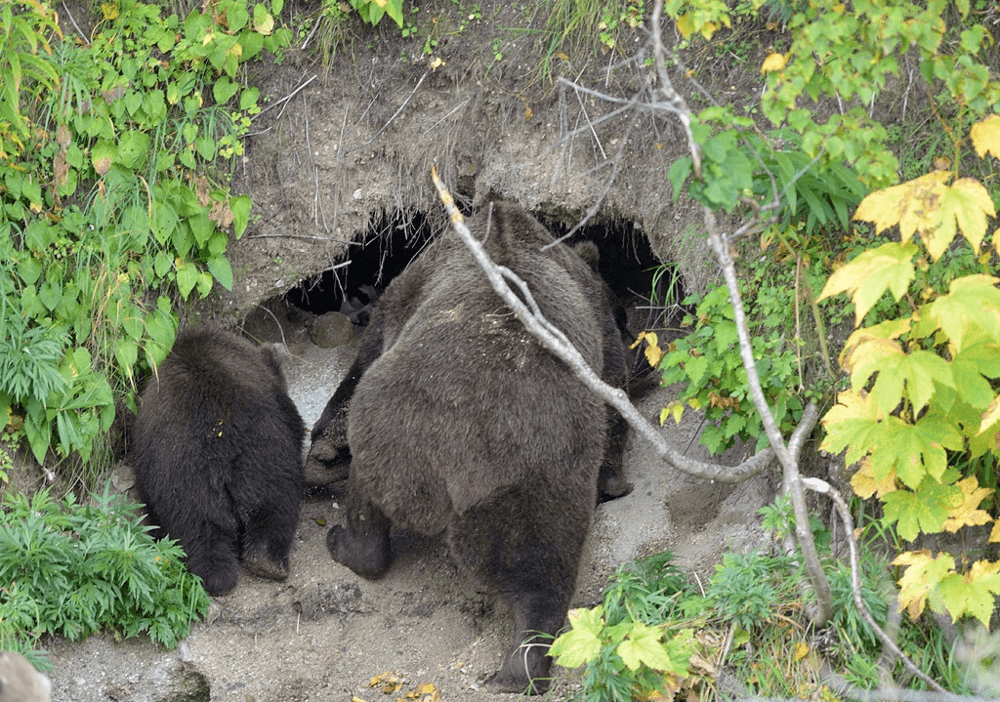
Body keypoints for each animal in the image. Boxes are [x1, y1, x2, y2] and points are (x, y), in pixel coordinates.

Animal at [133, 328, 306, 596]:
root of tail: (220, 448)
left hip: (187, 479)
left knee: (201, 529)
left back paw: (237, 569)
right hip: (261, 455)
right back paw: (257, 566)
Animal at [308, 202, 628, 692]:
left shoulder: (405, 293)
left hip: (417, 441)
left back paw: (344, 541)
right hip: (520, 477)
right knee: (541, 563)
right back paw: (522, 664)